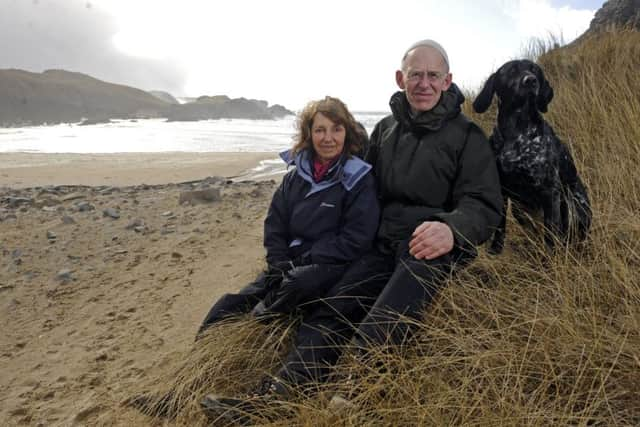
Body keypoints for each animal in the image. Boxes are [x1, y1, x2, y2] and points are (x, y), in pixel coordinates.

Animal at [470, 60, 592, 254]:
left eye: (535, 70)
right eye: (511, 71)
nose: (531, 81)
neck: (517, 131)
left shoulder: (550, 191)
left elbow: (551, 233)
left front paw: (550, 257)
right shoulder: (501, 191)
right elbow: (500, 226)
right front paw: (495, 250)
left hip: (572, 205)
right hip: (519, 210)